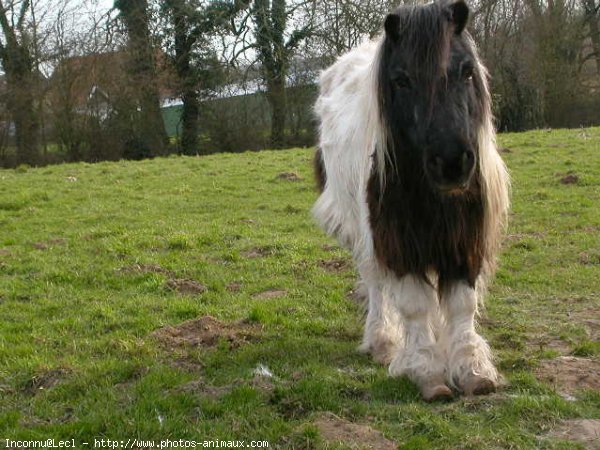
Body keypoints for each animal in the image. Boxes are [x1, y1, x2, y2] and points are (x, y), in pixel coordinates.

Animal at [312, 0, 508, 400]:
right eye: (401, 80)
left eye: (467, 71)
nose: (452, 162)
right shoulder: (398, 240)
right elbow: (415, 306)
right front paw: (426, 371)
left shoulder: (464, 239)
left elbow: (462, 304)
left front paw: (471, 369)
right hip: (365, 233)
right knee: (375, 282)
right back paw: (382, 340)